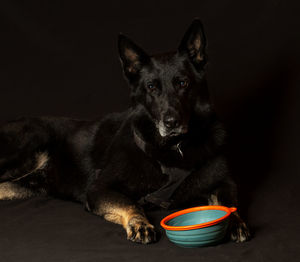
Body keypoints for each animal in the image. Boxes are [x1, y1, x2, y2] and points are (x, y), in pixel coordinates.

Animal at [0, 20, 250, 244]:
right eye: (151, 87)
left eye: (182, 83)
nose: (171, 123)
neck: (173, 148)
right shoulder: (100, 189)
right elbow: (131, 203)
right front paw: (140, 223)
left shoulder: (225, 182)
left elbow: (229, 204)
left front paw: (235, 222)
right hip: (32, 142)